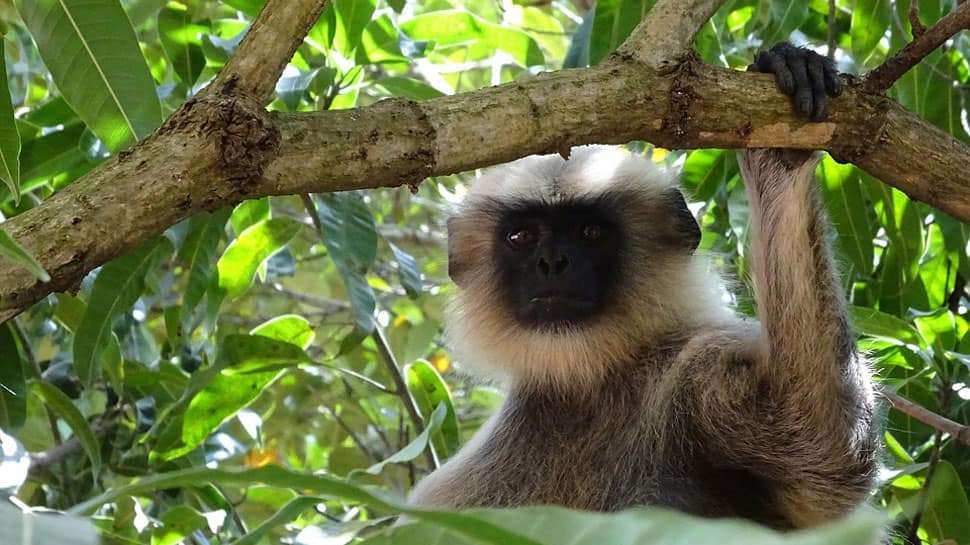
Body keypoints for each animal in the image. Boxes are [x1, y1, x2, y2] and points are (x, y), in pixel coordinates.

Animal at [410, 43, 876, 532]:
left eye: (591, 232)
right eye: (521, 237)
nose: (552, 263)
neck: (586, 391)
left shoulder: (693, 369)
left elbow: (824, 455)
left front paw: (781, 146)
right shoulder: (450, 499)